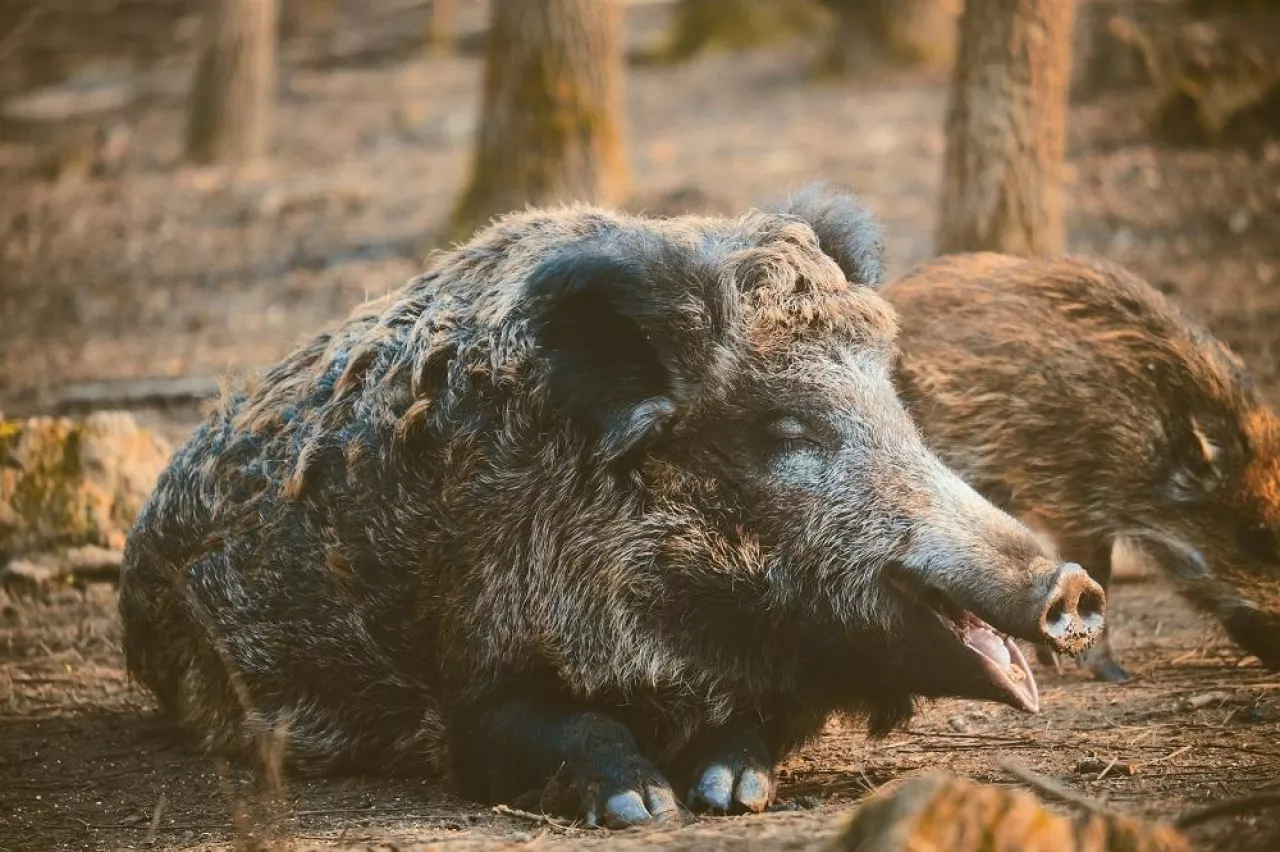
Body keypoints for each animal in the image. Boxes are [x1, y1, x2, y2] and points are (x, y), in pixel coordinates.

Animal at [118, 185, 1103, 828]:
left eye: (895, 401)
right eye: (787, 427)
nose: (1072, 587)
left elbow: (749, 729)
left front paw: (731, 797)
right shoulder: (468, 679)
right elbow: (553, 725)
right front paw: (646, 808)